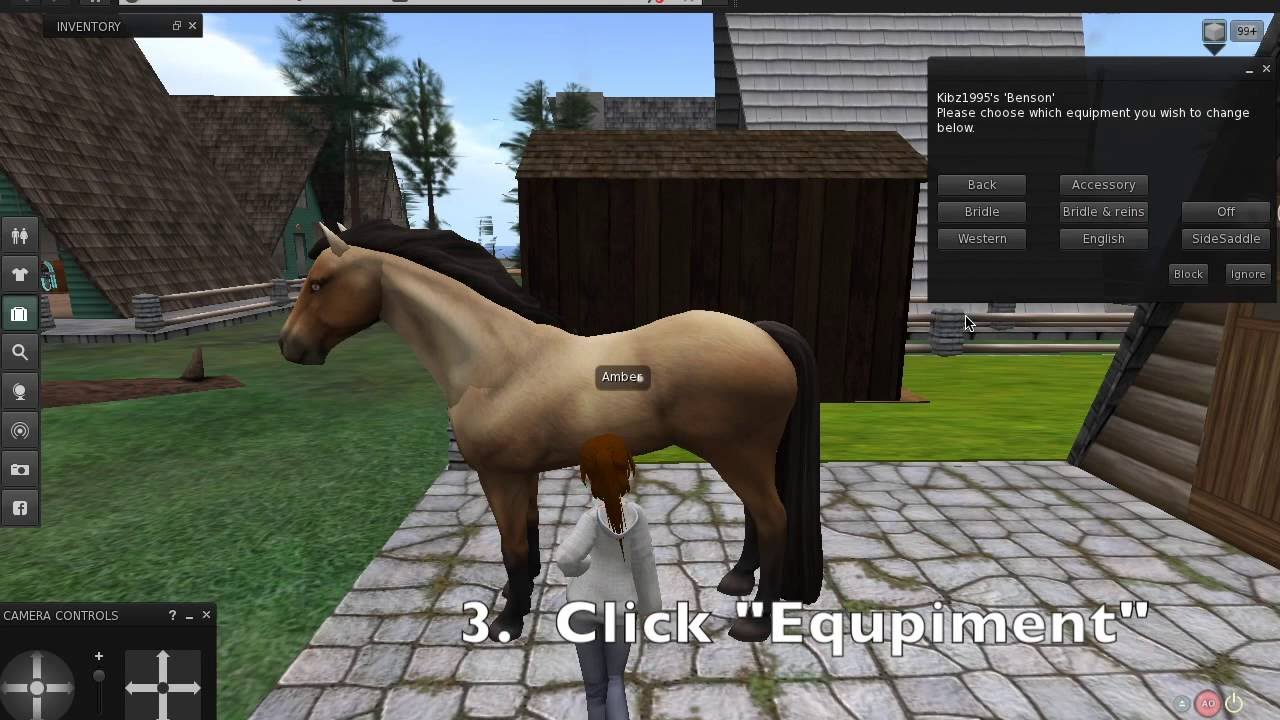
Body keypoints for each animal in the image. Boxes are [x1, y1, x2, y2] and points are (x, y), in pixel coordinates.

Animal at [279, 220, 822, 643]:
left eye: (320, 284)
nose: (289, 346)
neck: (496, 362)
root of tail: (762, 332)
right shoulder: (523, 474)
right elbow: (529, 533)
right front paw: (516, 595)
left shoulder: (500, 475)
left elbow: (512, 546)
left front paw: (507, 621)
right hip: (745, 454)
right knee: (757, 515)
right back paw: (737, 579)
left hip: (738, 453)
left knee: (773, 518)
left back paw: (755, 623)